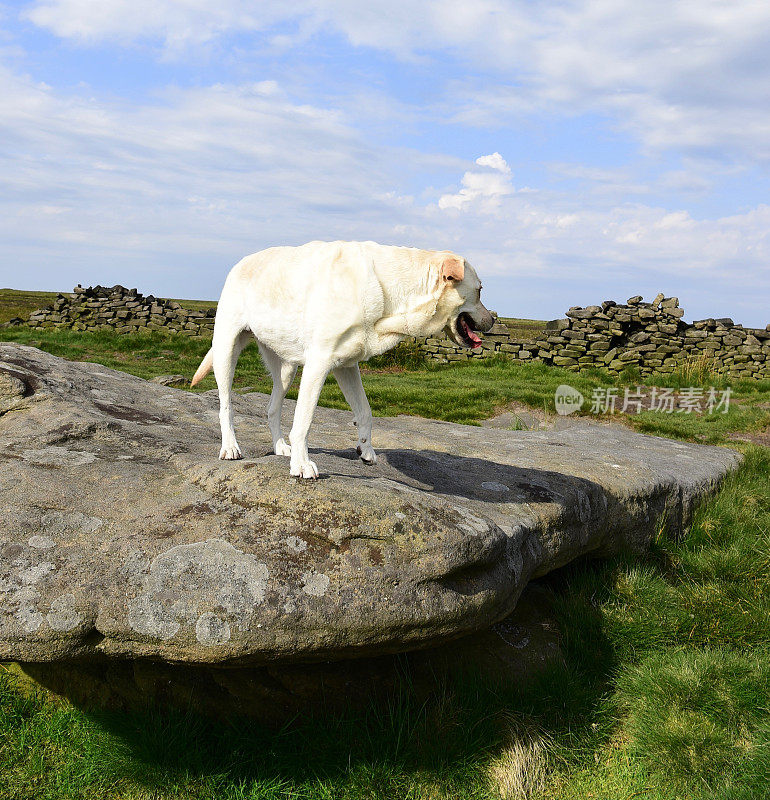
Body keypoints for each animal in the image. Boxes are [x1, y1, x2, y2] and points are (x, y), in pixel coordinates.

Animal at [190, 241, 492, 478]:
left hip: (286, 369)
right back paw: (230, 447)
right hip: (226, 351)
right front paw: (302, 465)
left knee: (272, 408)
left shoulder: (347, 367)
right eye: (479, 290)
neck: (391, 291)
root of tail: (240, 262)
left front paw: (366, 449)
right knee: (226, 406)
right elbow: (303, 421)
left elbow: (365, 411)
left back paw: (279, 447)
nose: (492, 320)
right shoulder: (318, 365)